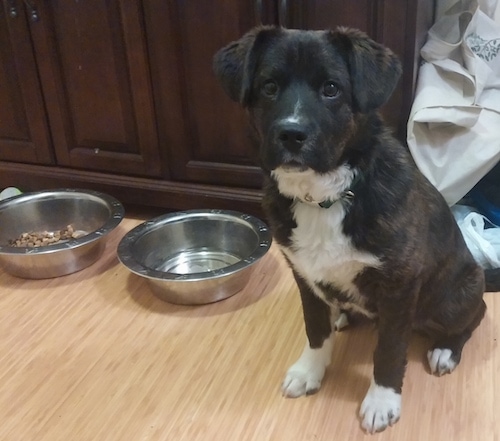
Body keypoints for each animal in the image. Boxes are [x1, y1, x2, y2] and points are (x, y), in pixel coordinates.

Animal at [213, 25, 498, 432]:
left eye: (331, 88)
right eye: (269, 86)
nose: (291, 134)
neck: (324, 197)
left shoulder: (399, 286)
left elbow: (390, 350)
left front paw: (382, 400)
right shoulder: (304, 275)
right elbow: (315, 330)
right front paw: (310, 371)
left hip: (452, 298)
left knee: (476, 315)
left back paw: (445, 349)